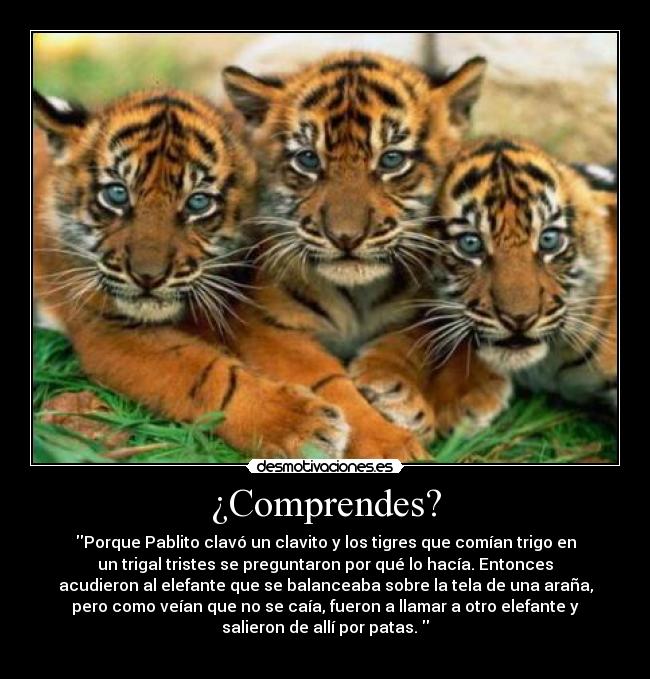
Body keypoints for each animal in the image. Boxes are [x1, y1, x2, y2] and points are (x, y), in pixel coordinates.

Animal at [33, 88, 352, 459]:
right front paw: (302, 427)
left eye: (198, 203)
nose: (148, 277)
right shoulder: (107, 328)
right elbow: (207, 374)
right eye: (116, 194)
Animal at [221, 50, 488, 459]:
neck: (357, 295)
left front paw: (395, 389)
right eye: (308, 160)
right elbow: (329, 384)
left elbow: (406, 342)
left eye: (392, 160)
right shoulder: (268, 327)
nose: (345, 237)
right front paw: (389, 446)